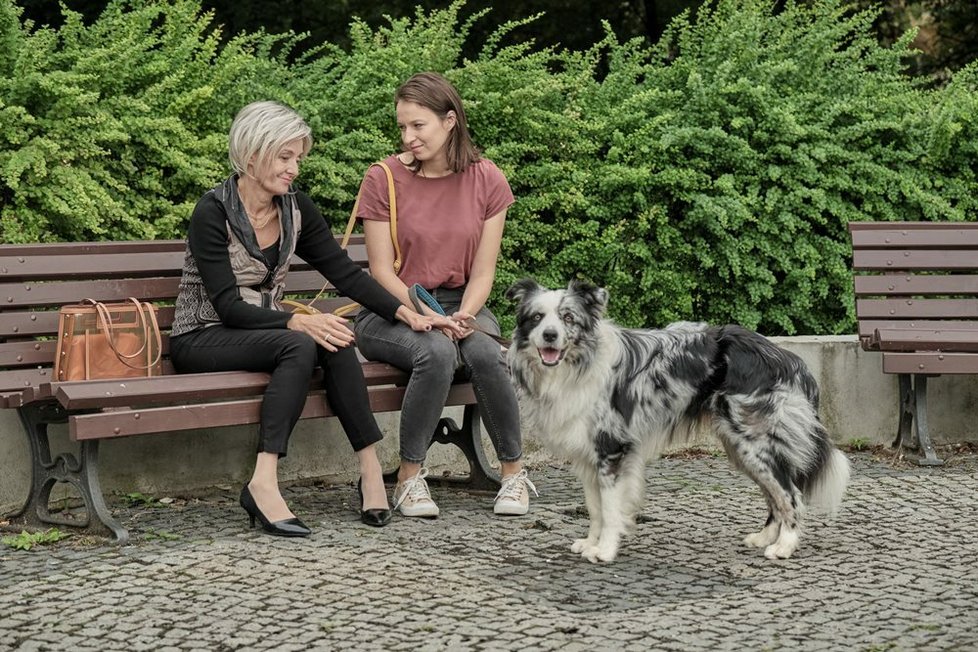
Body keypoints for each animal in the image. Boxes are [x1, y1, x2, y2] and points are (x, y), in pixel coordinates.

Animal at [504, 278, 848, 564]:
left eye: (568, 318)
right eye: (536, 317)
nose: (550, 336)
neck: (579, 364)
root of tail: (789, 359)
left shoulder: (613, 450)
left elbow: (611, 509)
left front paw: (605, 550)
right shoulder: (588, 456)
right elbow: (595, 507)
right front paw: (591, 543)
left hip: (755, 443)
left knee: (790, 494)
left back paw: (784, 545)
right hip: (740, 448)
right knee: (774, 494)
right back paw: (765, 537)